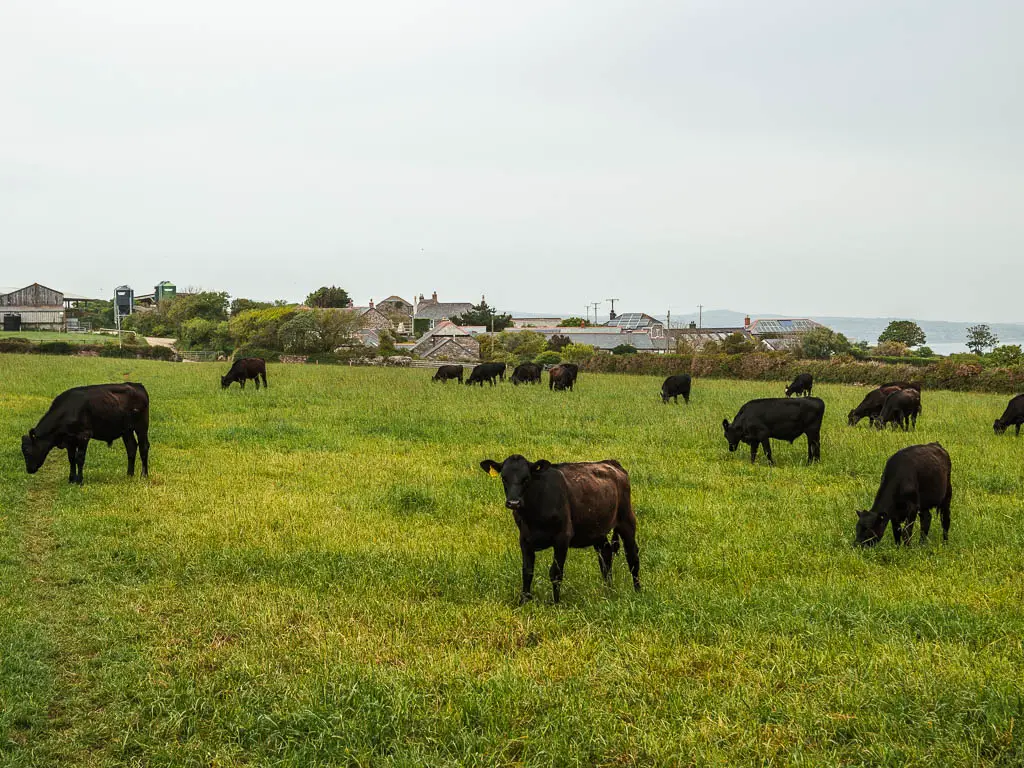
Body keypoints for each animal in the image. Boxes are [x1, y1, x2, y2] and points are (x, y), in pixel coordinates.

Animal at [19, 385, 149, 487]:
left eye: (26, 450)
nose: (29, 469)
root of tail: (137, 385)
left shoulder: (84, 436)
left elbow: (79, 458)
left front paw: (80, 481)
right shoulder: (69, 440)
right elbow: (71, 459)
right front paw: (71, 479)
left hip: (142, 426)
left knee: (143, 447)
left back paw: (144, 475)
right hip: (126, 430)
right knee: (131, 448)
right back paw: (129, 474)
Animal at [479, 454, 638, 606]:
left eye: (526, 478)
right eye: (504, 478)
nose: (513, 503)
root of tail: (612, 463)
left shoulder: (562, 538)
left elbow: (555, 572)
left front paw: (555, 603)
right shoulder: (524, 539)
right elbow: (527, 571)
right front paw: (523, 601)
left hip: (626, 520)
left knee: (632, 555)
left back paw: (637, 591)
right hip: (597, 529)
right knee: (605, 555)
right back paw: (608, 590)